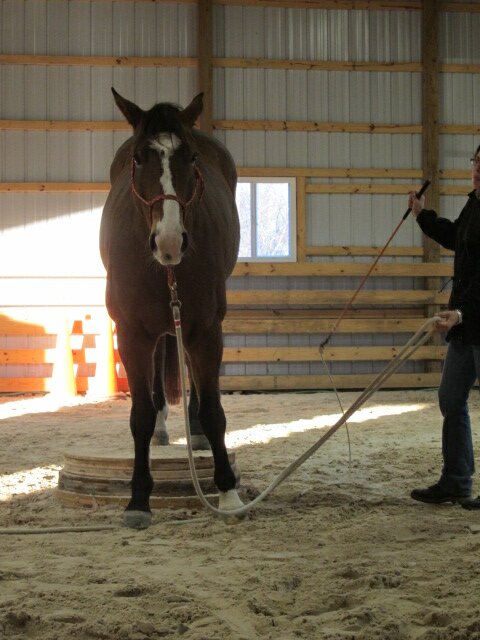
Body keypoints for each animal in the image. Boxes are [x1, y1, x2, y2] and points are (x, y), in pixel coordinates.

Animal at [100, 88, 243, 528]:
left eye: (191, 158)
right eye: (139, 158)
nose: (170, 241)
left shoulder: (206, 330)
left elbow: (214, 410)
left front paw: (227, 491)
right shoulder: (130, 333)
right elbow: (140, 416)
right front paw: (137, 499)